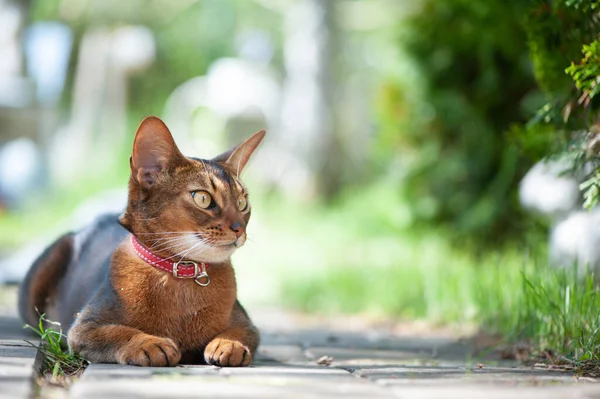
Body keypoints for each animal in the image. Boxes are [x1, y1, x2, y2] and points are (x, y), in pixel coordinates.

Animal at [17, 117, 264, 368]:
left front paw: (229, 344)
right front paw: (150, 344)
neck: (181, 274)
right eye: (203, 198)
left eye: (242, 202)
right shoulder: (83, 328)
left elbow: (241, 332)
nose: (239, 228)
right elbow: (118, 332)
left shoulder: (247, 324)